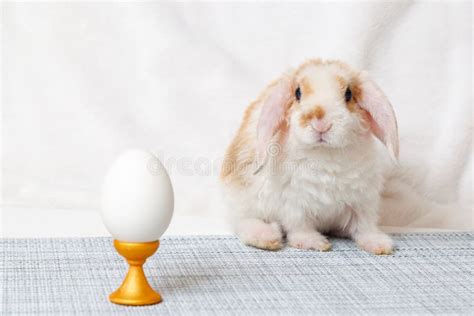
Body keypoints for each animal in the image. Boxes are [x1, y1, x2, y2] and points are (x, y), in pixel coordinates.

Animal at [220, 59, 398, 256]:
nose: (321, 123)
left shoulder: (362, 201)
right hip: (243, 201)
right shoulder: (295, 204)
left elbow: (364, 226)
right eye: (298, 93)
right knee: (243, 222)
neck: (325, 152)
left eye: (348, 94)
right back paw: (266, 237)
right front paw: (314, 242)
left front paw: (379, 244)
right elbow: (300, 227)